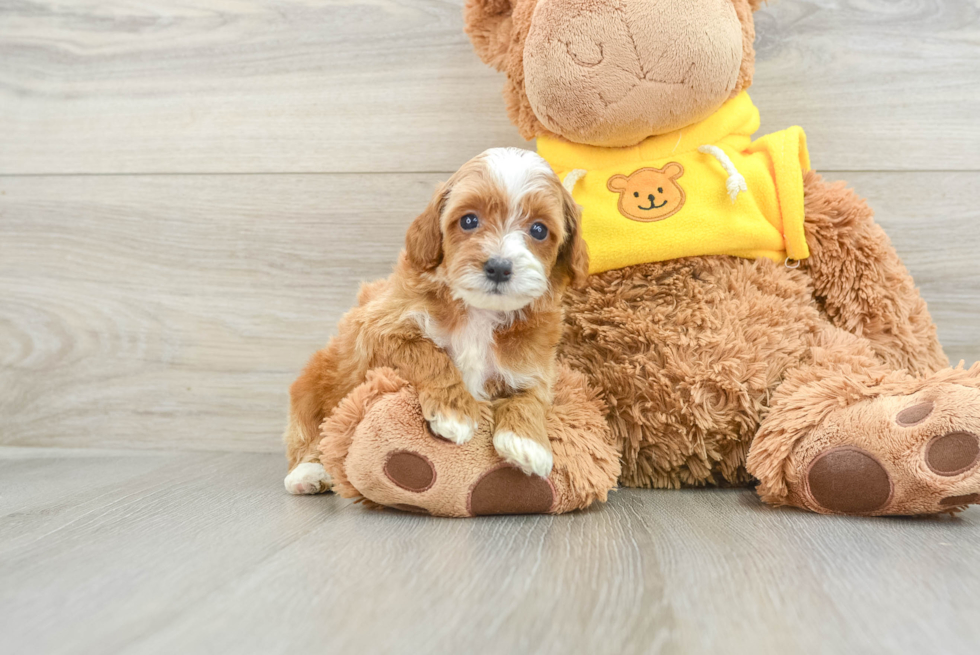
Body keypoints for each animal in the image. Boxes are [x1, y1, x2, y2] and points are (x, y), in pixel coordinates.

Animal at [284, 149, 588, 494]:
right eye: (469, 220)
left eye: (538, 230)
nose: (498, 267)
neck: (479, 312)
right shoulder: (377, 330)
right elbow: (431, 354)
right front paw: (455, 414)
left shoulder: (535, 364)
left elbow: (531, 397)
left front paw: (528, 443)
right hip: (313, 386)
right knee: (313, 431)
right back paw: (308, 472)